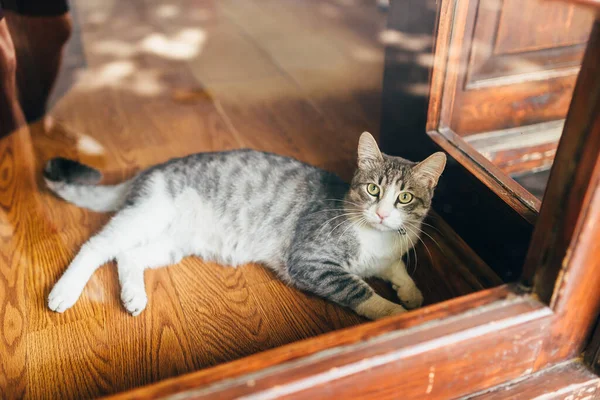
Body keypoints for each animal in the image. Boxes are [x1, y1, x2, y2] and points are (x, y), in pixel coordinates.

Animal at [44, 133, 446, 320]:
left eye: (404, 198)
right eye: (373, 189)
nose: (382, 214)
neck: (377, 240)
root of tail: (151, 170)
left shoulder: (388, 256)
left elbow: (397, 268)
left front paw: (412, 294)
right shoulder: (312, 261)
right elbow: (361, 291)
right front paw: (397, 314)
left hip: (172, 243)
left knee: (129, 256)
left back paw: (134, 297)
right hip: (146, 215)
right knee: (96, 246)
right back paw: (64, 293)